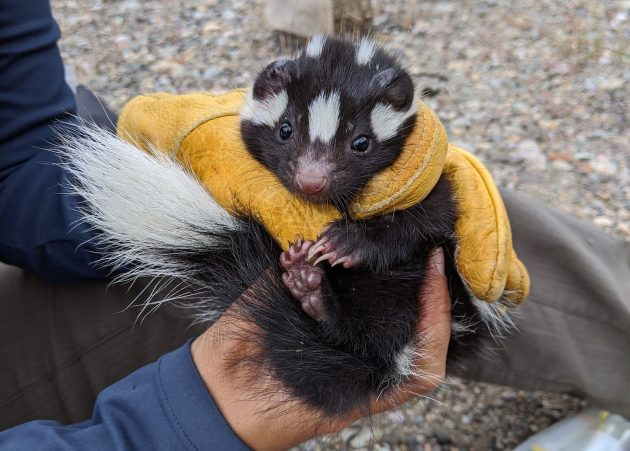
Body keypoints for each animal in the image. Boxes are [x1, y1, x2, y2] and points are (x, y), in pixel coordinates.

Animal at [63, 37, 512, 422]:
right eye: (285, 130)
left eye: (361, 142)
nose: (311, 180)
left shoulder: (435, 185)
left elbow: (424, 219)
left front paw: (347, 244)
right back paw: (308, 286)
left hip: (414, 298)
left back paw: (315, 294)